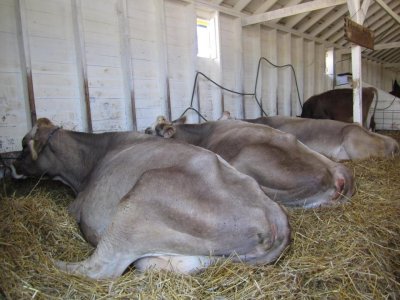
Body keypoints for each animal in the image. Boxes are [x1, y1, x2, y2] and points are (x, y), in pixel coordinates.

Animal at [10, 117, 290, 278]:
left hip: (137, 202)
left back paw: (49, 262)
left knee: (101, 269)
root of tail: (276, 219)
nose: (11, 165)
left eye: (24, 144)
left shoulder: (78, 206)